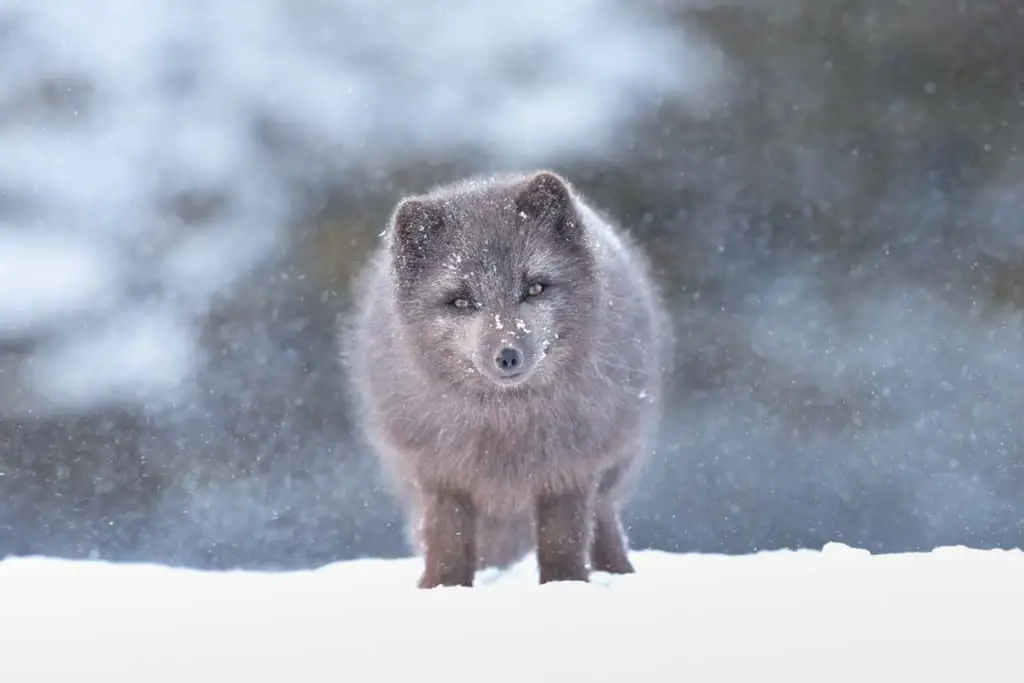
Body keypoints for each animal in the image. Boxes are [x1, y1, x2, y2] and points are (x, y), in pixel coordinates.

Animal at [339, 171, 667, 589]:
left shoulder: (569, 470)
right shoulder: (439, 476)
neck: (504, 429)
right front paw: (442, 589)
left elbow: (564, 539)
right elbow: (447, 540)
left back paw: (617, 572)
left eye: (535, 288)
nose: (507, 355)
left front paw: (564, 586)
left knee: (603, 517)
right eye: (461, 301)